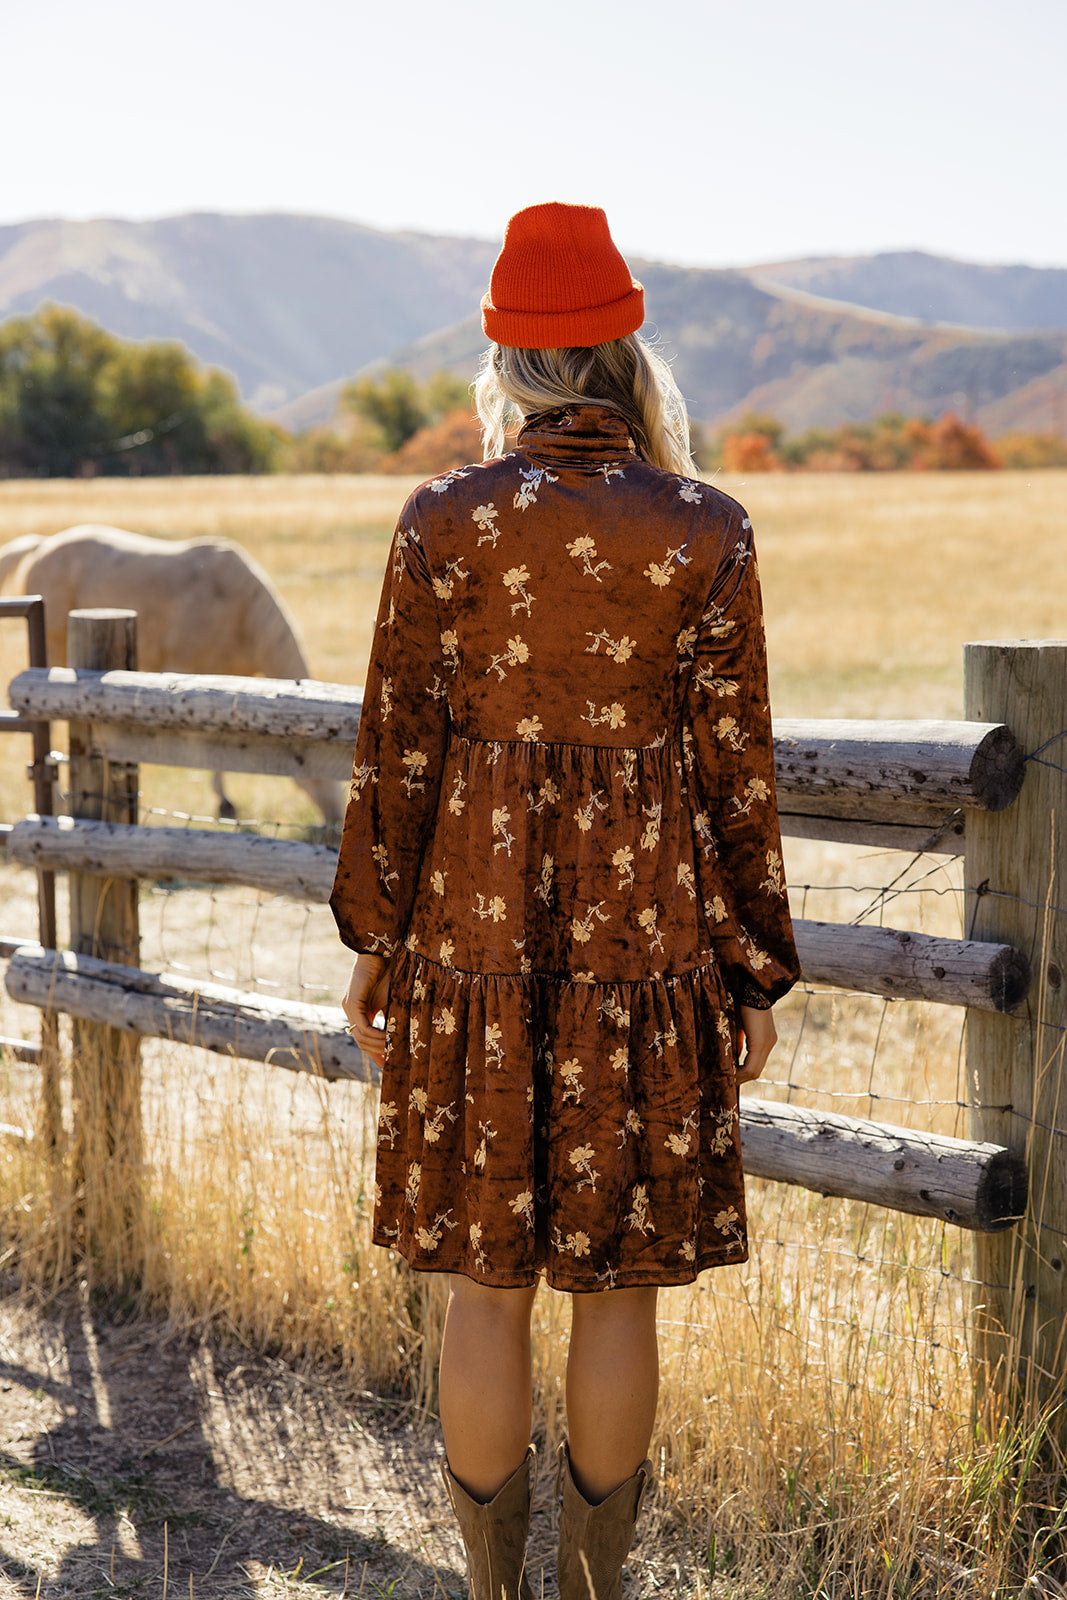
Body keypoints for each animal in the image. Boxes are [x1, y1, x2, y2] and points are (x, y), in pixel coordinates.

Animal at [2, 524, 343, 825]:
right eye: (312, 765)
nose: (336, 819)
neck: (241, 611)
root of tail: (42, 544)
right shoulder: (191, 675)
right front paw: (224, 804)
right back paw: (59, 800)